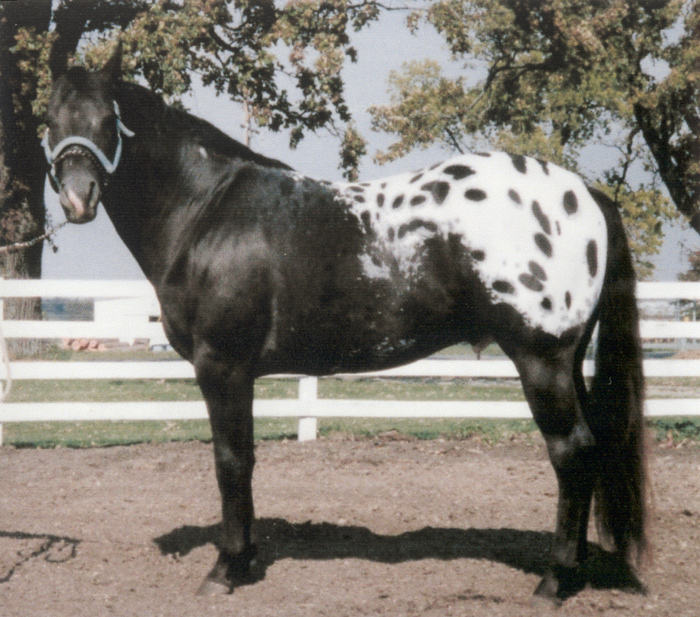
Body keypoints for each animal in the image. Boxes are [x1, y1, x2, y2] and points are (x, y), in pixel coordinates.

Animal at [43, 43, 647, 602]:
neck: (206, 212)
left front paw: (226, 569)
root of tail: (585, 195)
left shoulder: (223, 366)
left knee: (572, 452)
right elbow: (245, 459)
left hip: (541, 360)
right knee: (593, 448)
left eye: (108, 120)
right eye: (50, 120)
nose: (77, 197)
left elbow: (231, 461)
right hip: (568, 361)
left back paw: (554, 580)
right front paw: (246, 559)